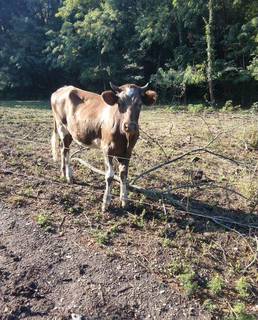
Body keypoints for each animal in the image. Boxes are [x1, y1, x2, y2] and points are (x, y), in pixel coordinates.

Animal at [49, 82, 156, 210]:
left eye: (139, 104)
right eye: (120, 103)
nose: (129, 126)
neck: (124, 136)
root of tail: (62, 88)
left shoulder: (127, 153)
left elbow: (124, 175)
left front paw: (124, 200)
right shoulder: (107, 149)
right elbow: (109, 176)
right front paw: (106, 202)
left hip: (70, 132)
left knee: (64, 150)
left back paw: (65, 174)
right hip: (62, 127)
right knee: (65, 150)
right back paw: (67, 176)